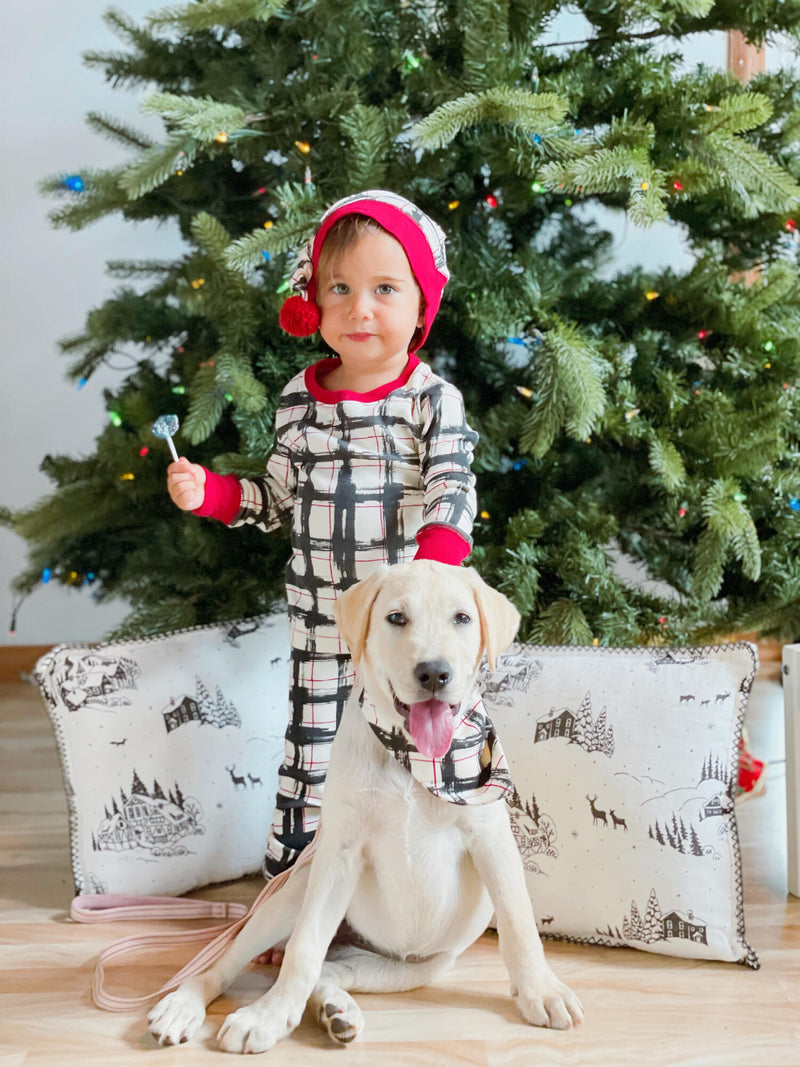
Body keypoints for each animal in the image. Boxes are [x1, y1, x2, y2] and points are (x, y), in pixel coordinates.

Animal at [149, 563, 584, 1054]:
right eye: (396, 618)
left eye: (462, 619)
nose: (434, 673)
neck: (413, 757)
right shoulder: (340, 852)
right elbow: (302, 948)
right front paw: (268, 1016)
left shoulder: (491, 837)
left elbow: (518, 922)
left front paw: (541, 991)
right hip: (293, 894)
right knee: (237, 960)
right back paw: (186, 1005)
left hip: (408, 968)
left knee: (330, 971)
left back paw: (336, 1011)